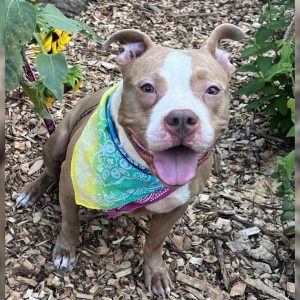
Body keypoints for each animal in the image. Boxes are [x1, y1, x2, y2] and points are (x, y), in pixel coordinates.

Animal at [16, 24, 244, 298]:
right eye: (147, 88)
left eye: (212, 90)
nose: (181, 118)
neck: (141, 173)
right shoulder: (70, 189)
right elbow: (70, 222)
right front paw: (64, 252)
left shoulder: (178, 207)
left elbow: (155, 242)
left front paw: (155, 272)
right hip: (57, 142)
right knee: (49, 172)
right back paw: (29, 192)